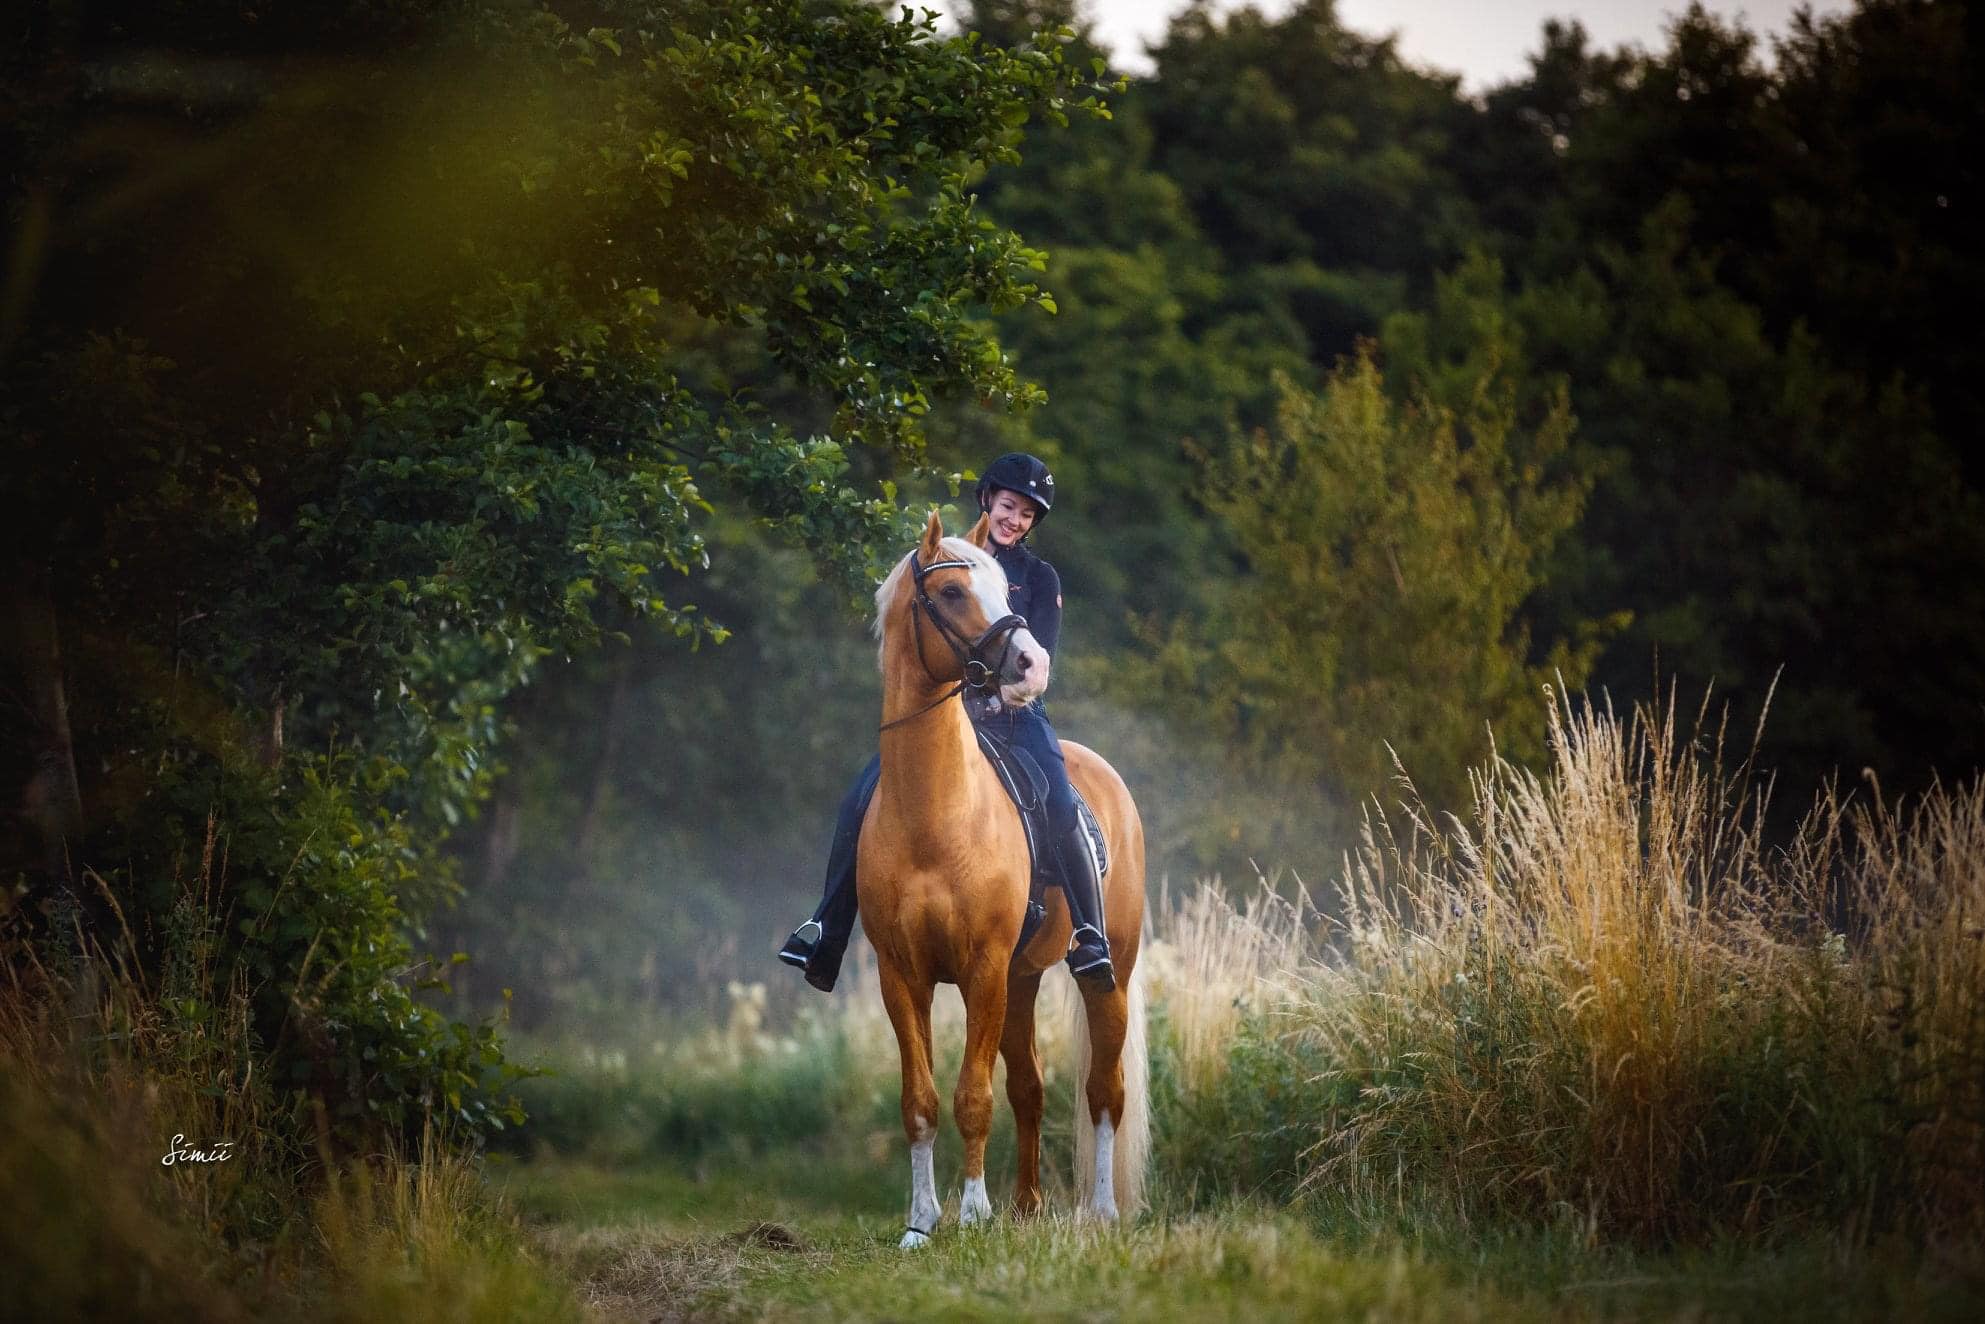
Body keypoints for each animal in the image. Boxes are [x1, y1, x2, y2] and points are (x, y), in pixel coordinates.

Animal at [857, 508, 1151, 1246]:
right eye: (953, 592)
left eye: (1009, 593)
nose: (1030, 663)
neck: (934, 812)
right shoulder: (901, 975)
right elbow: (921, 1100)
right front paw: (920, 1224)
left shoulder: (982, 968)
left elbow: (972, 1094)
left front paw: (971, 1212)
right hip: (1021, 983)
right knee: (1030, 1087)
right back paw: (1026, 1207)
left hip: (1107, 973)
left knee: (1104, 1089)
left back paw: (1101, 1213)